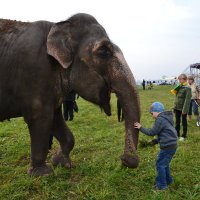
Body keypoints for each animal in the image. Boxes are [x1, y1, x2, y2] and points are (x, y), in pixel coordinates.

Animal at [0, 12, 141, 175]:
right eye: (104, 51)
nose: (125, 160)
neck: (56, 25)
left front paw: (61, 163)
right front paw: (43, 173)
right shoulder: (34, 72)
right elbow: (40, 115)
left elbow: (54, 117)